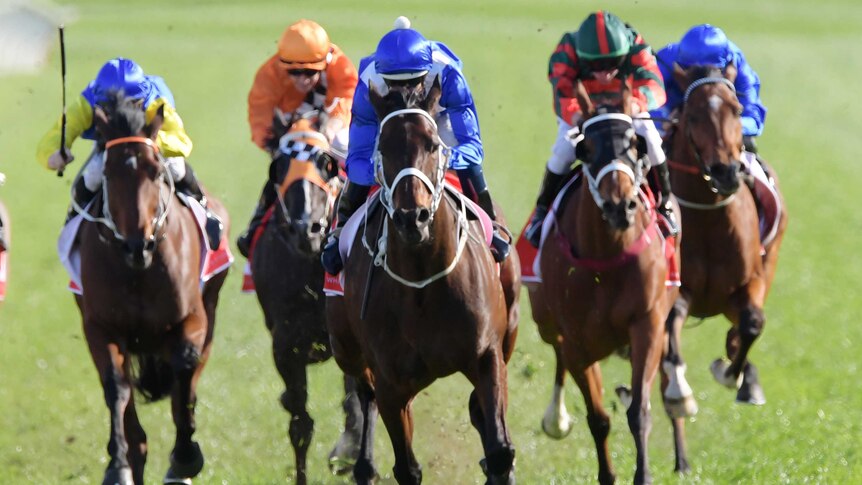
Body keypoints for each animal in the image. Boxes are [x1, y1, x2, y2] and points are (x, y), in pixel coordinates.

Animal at [75, 92, 230, 482]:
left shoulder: (193, 319)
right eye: (109, 173)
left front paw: (186, 456)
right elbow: (116, 388)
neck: (139, 271)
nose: (137, 246)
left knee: (186, 384)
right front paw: (118, 464)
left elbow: (184, 376)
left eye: (155, 170)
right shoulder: (100, 325)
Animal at [248, 115, 362, 482]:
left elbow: (355, 403)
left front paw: (349, 453)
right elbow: (300, 424)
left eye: (326, 164)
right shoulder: (286, 345)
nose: (305, 229)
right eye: (279, 168)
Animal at [328, 82, 520, 480]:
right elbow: (407, 466)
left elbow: (498, 449)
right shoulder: (391, 383)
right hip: (346, 349)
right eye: (384, 147)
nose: (411, 217)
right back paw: (363, 464)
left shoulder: (487, 356)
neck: (423, 281)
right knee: (365, 394)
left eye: (432, 144)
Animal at [532, 81, 696, 482]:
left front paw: (644, 473)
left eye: (635, 146)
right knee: (557, 353)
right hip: (546, 323)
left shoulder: (646, 325)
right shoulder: (577, 341)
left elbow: (639, 410)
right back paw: (556, 417)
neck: (606, 255)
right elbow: (598, 418)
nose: (620, 206)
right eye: (586, 149)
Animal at [668, 63, 788, 404]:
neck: (710, 217)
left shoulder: (750, 283)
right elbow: (672, 315)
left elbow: (753, 322)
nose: (726, 172)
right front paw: (677, 383)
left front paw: (732, 374)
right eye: (693, 115)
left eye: (736, 110)